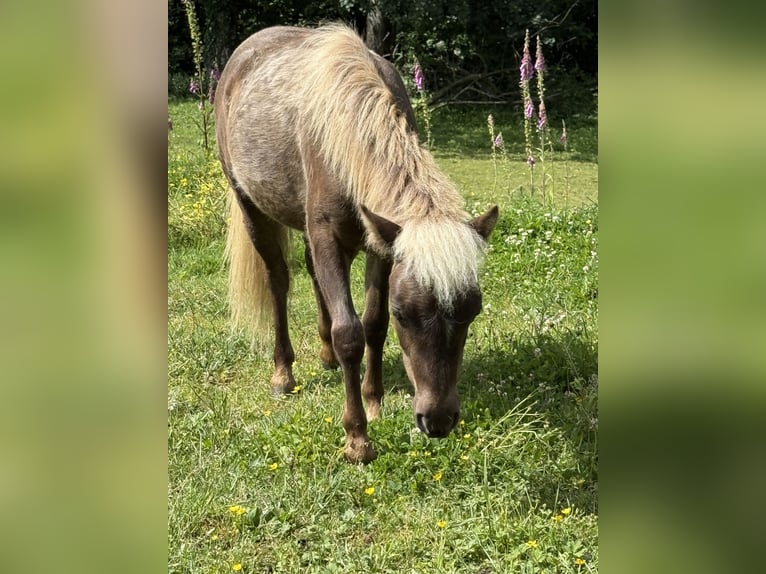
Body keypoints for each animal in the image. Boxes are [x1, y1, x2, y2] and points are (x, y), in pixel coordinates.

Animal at [215, 24, 498, 463]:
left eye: (472, 312)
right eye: (405, 315)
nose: (438, 420)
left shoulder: (381, 247)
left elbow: (372, 325)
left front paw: (374, 401)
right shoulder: (330, 240)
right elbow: (349, 333)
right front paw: (357, 438)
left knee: (313, 275)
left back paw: (325, 357)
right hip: (251, 209)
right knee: (278, 280)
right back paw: (283, 374)